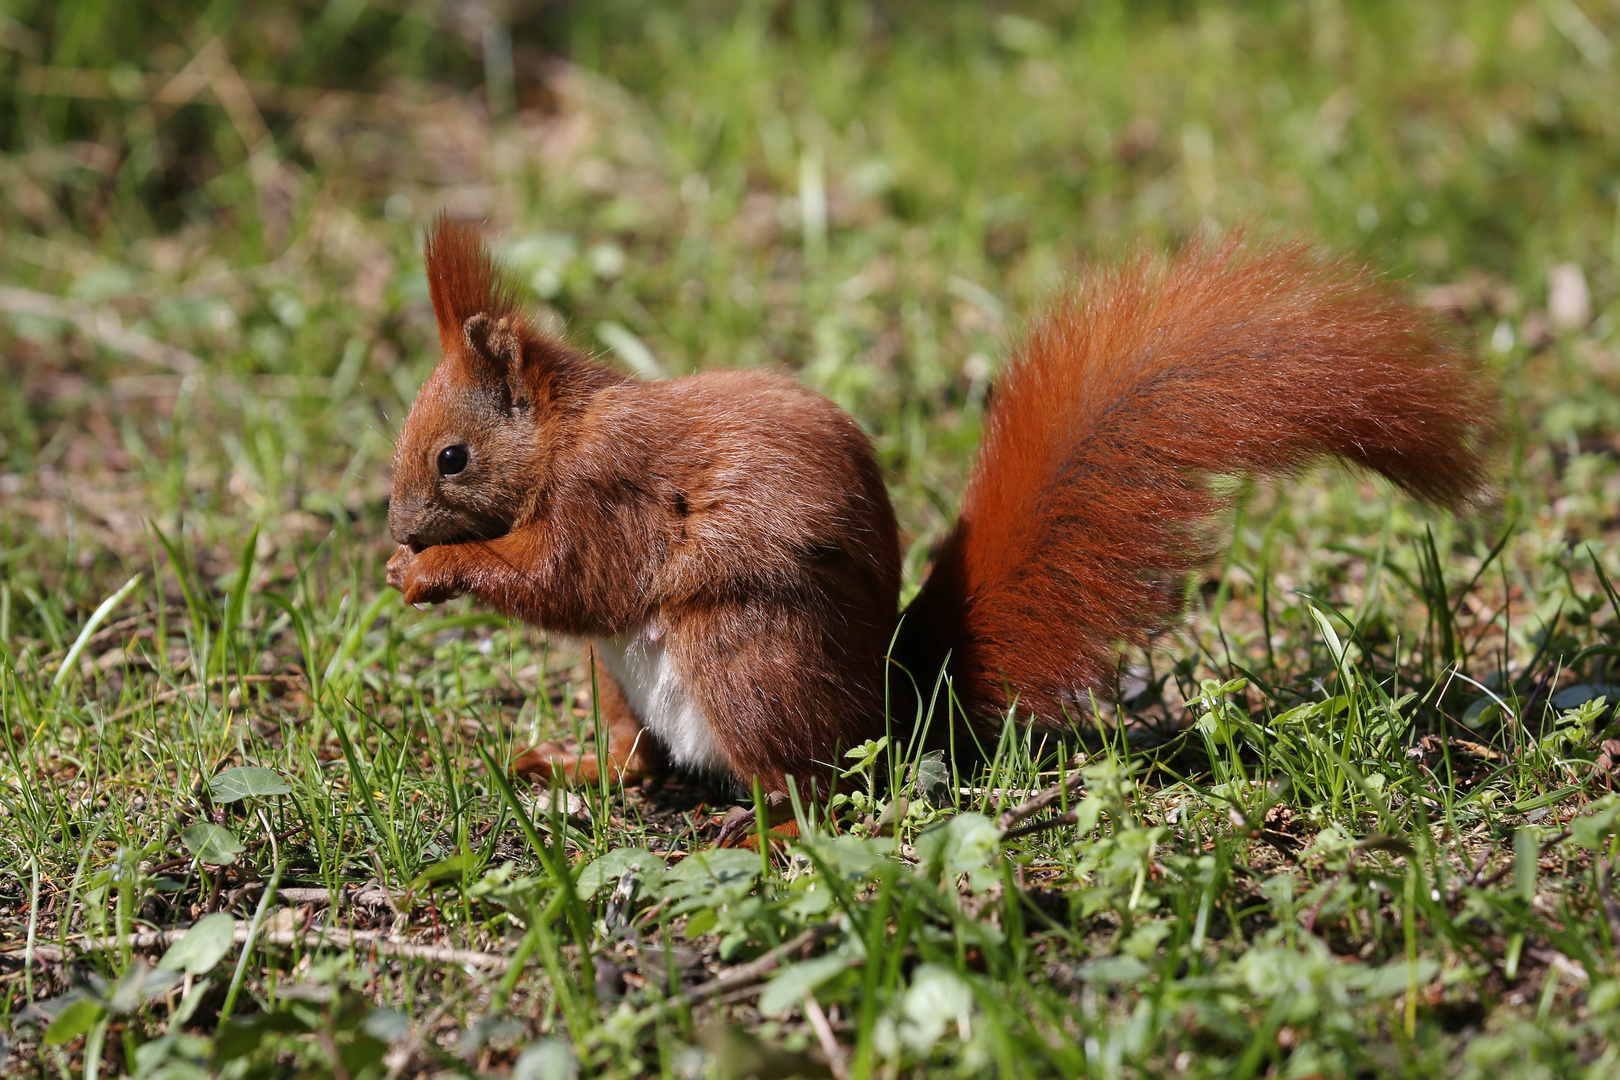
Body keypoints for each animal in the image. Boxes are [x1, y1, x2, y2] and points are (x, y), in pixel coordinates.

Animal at [388, 215, 1490, 829]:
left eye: (452, 457)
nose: (399, 532)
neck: (561, 433)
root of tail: (891, 702)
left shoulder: (610, 492)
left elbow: (568, 577)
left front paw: (436, 571)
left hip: (742, 656)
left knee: (818, 789)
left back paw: (768, 830)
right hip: (623, 684)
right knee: (643, 758)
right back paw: (567, 762)